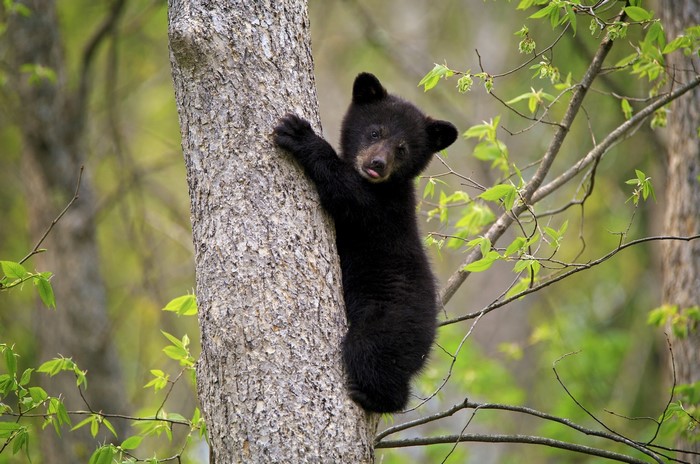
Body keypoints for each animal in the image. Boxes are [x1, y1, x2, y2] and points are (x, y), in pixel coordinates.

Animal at [273, 72, 457, 413]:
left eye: (402, 149)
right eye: (374, 131)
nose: (378, 164)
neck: (385, 186)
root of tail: (427, 343)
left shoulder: (382, 211)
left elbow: (347, 193)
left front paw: (300, 135)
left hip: (386, 324)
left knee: (369, 355)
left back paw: (372, 397)